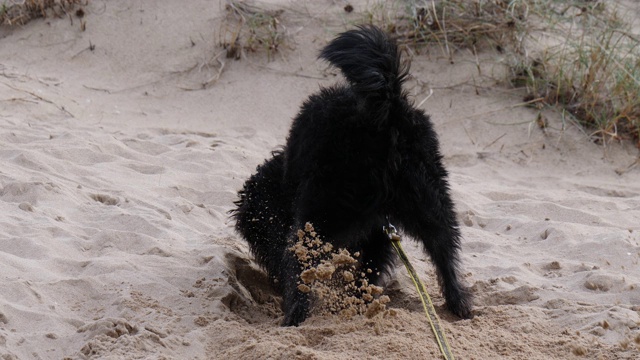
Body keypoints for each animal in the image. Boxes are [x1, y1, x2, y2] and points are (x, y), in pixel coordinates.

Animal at [232, 23, 472, 324]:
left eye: (258, 238)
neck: (283, 181)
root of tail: (384, 115)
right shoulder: (380, 229)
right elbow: (370, 266)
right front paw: (360, 301)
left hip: (323, 210)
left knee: (301, 265)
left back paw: (295, 317)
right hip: (431, 196)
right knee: (444, 247)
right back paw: (458, 303)